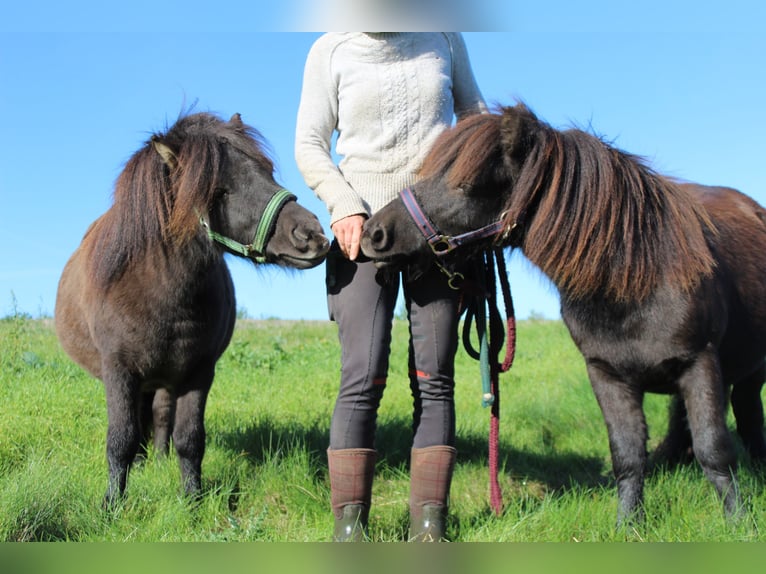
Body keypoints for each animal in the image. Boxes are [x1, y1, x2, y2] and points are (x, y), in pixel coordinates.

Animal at [54, 111, 330, 504]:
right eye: (219, 191)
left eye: (269, 172)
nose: (310, 235)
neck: (162, 294)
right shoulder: (119, 372)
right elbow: (120, 438)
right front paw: (113, 503)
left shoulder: (198, 373)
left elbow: (189, 438)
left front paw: (192, 498)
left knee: (159, 416)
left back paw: (156, 461)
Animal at [362, 103, 766, 528]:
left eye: (465, 184)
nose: (375, 233)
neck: (638, 278)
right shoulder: (606, 374)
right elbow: (627, 453)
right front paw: (628, 525)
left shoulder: (699, 363)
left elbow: (714, 449)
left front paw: (739, 522)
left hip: (750, 371)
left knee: (748, 417)